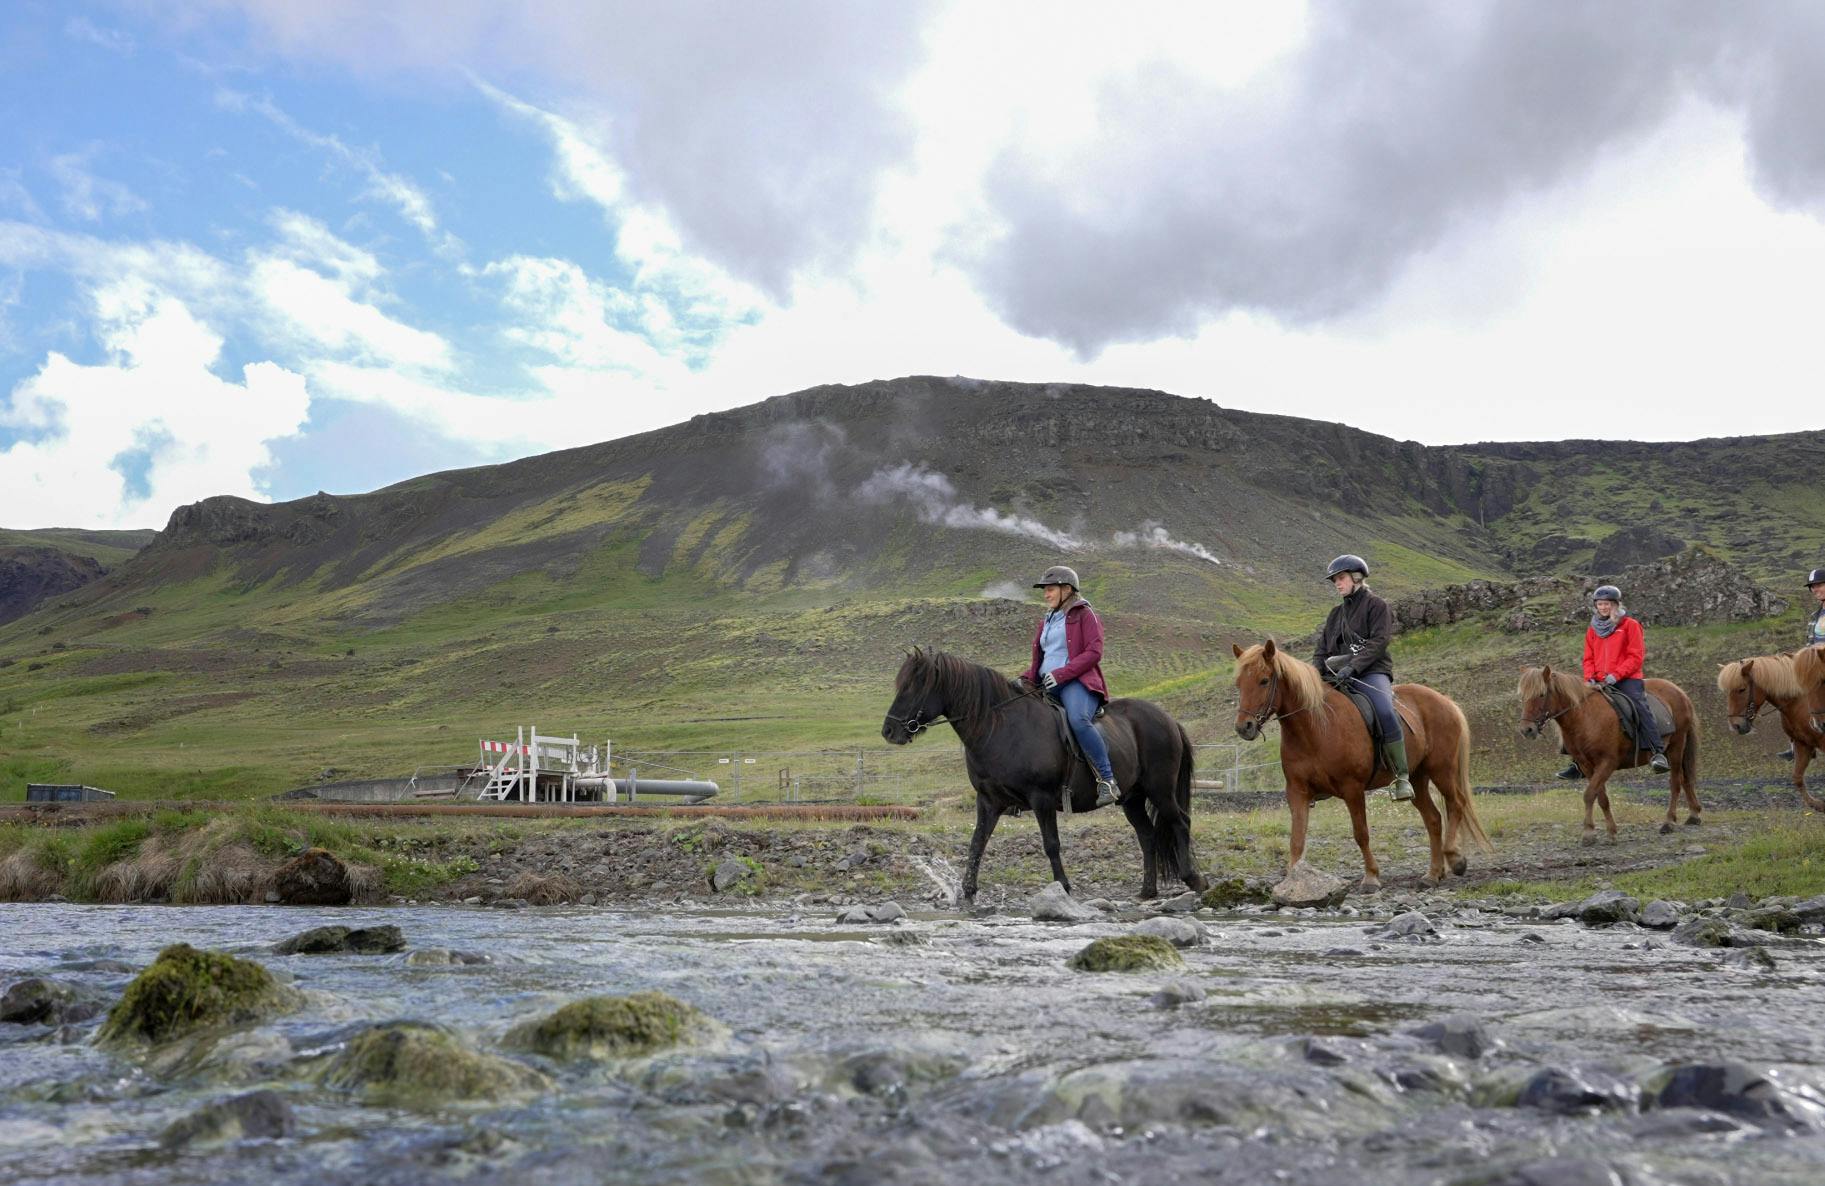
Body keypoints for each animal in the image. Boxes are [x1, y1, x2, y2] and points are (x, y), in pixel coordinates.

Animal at [879, 645, 1204, 897]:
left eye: (914, 686)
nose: (889, 731)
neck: (1000, 728)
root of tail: (1168, 719)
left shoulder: (1042, 798)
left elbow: (1051, 844)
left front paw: (1064, 887)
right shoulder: (989, 801)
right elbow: (977, 843)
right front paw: (968, 892)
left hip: (1160, 790)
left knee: (1181, 823)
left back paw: (1193, 880)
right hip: (1132, 798)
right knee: (1147, 836)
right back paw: (1147, 890)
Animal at [1233, 638, 1489, 886]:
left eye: (1264, 681)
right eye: (1238, 684)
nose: (1244, 727)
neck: (1316, 728)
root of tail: (1445, 701)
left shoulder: (1352, 789)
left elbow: (1361, 833)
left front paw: (1371, 877)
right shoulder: (1297, 791)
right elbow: (1297, 838)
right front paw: (1293, 881)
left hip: (1442, 770)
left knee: (1457, 803)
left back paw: (1455, 858)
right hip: (1417, 777)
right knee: (1434, 819)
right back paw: (1433, 874)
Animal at [1511, 664, 1693, 839]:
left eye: (1541, 694)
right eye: (1523, 697)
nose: (1526, 729)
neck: (1586, 718)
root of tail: (1679, 691)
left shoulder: (1607, 762)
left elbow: (1589, 794)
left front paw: (1588, 833)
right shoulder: (1587, 765)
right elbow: (1601, 797)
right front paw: (1610, 831)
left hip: (1676, 747)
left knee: (1675, 782)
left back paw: (1669, 822)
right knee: (1684, 779)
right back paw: (1694, 815)